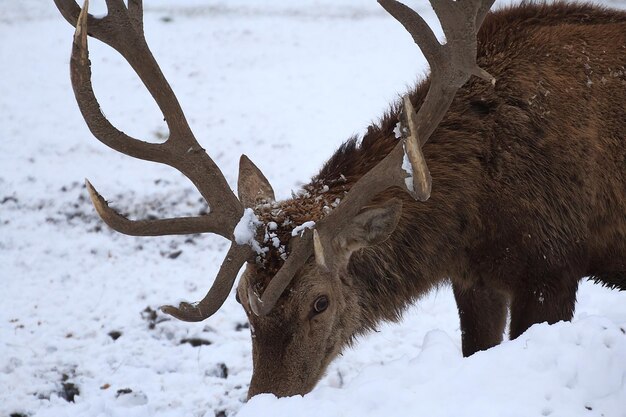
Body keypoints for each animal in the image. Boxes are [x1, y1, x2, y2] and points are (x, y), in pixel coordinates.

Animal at [54, 0, 624, 396]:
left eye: (320, 302)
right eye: (242, 300)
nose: (265, 400)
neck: (478, 212)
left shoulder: (550, 265)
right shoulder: (475, 277)